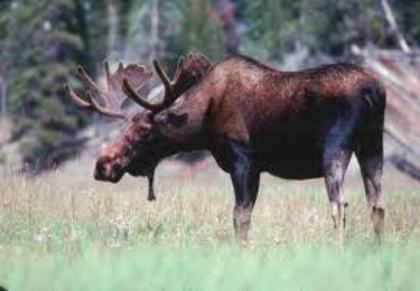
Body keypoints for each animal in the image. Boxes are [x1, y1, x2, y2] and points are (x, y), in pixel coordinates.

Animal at [65, 53, 384, 244]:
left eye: (144, 131)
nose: (103, 165)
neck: (203, 123)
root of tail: (372, 91)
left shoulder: (242, 159)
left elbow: (239, 217)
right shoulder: (255, 169)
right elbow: (245, 216)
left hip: (335, 149)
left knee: (339, 204)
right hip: (372, 146)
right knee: (377, 205)